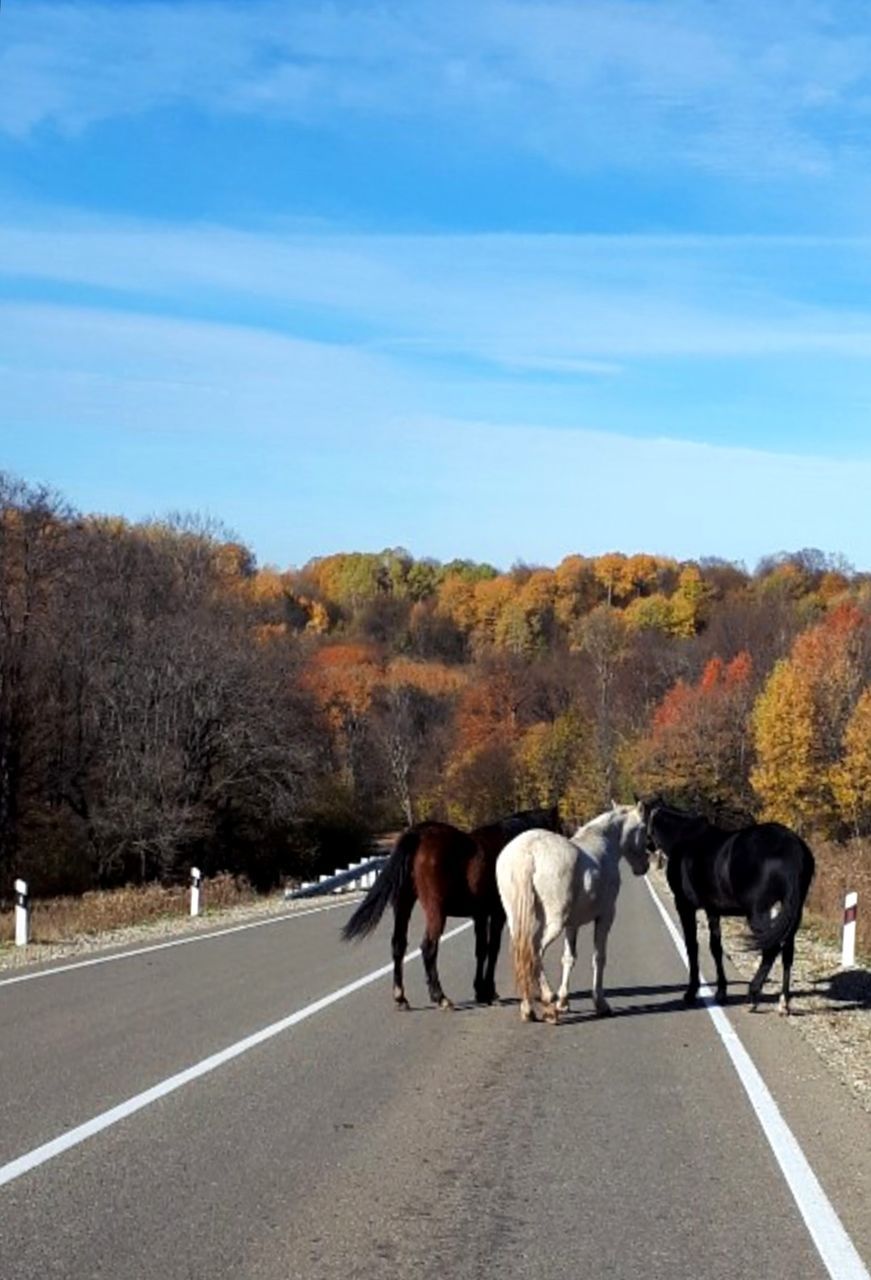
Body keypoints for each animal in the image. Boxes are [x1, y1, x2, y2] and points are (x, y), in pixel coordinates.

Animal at [338, 808, 558, 1008]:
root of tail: (417, 835)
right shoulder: (497, 914)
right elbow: (493, 948)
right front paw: (488, 990)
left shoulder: (480, 915)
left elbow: (481, 949)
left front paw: (481, 991)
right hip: (435, 911)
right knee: (428, 948)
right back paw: (440, 997)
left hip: (403, 904)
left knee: (398, 945)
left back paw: (401, 997)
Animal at [494, 803, 650, 1024]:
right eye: (644, 829)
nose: (644, 866)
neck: (603, 842)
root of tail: (528, 851)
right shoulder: (605, 917)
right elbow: (599, 958)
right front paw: (600, 1004)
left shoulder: (572, 924)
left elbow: (568, 958)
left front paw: (564, 1002)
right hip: (553, 924)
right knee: (535, 951)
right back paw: (548, 1002)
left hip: (517, 922)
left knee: (522, 954)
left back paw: (528, 1009)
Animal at [640, 793, 814, 1013]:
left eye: (644, 817)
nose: (647, 846)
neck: (684, 837)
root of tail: (792, 847)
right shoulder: (712, 909)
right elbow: (716, 947)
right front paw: (721, 992)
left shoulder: (684, 906)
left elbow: (692, 945)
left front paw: (691, 992)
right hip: (792, 912)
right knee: (787, 952)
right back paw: (783, 1003)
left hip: (759, 913)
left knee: (771, 949)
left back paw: (753, 996)